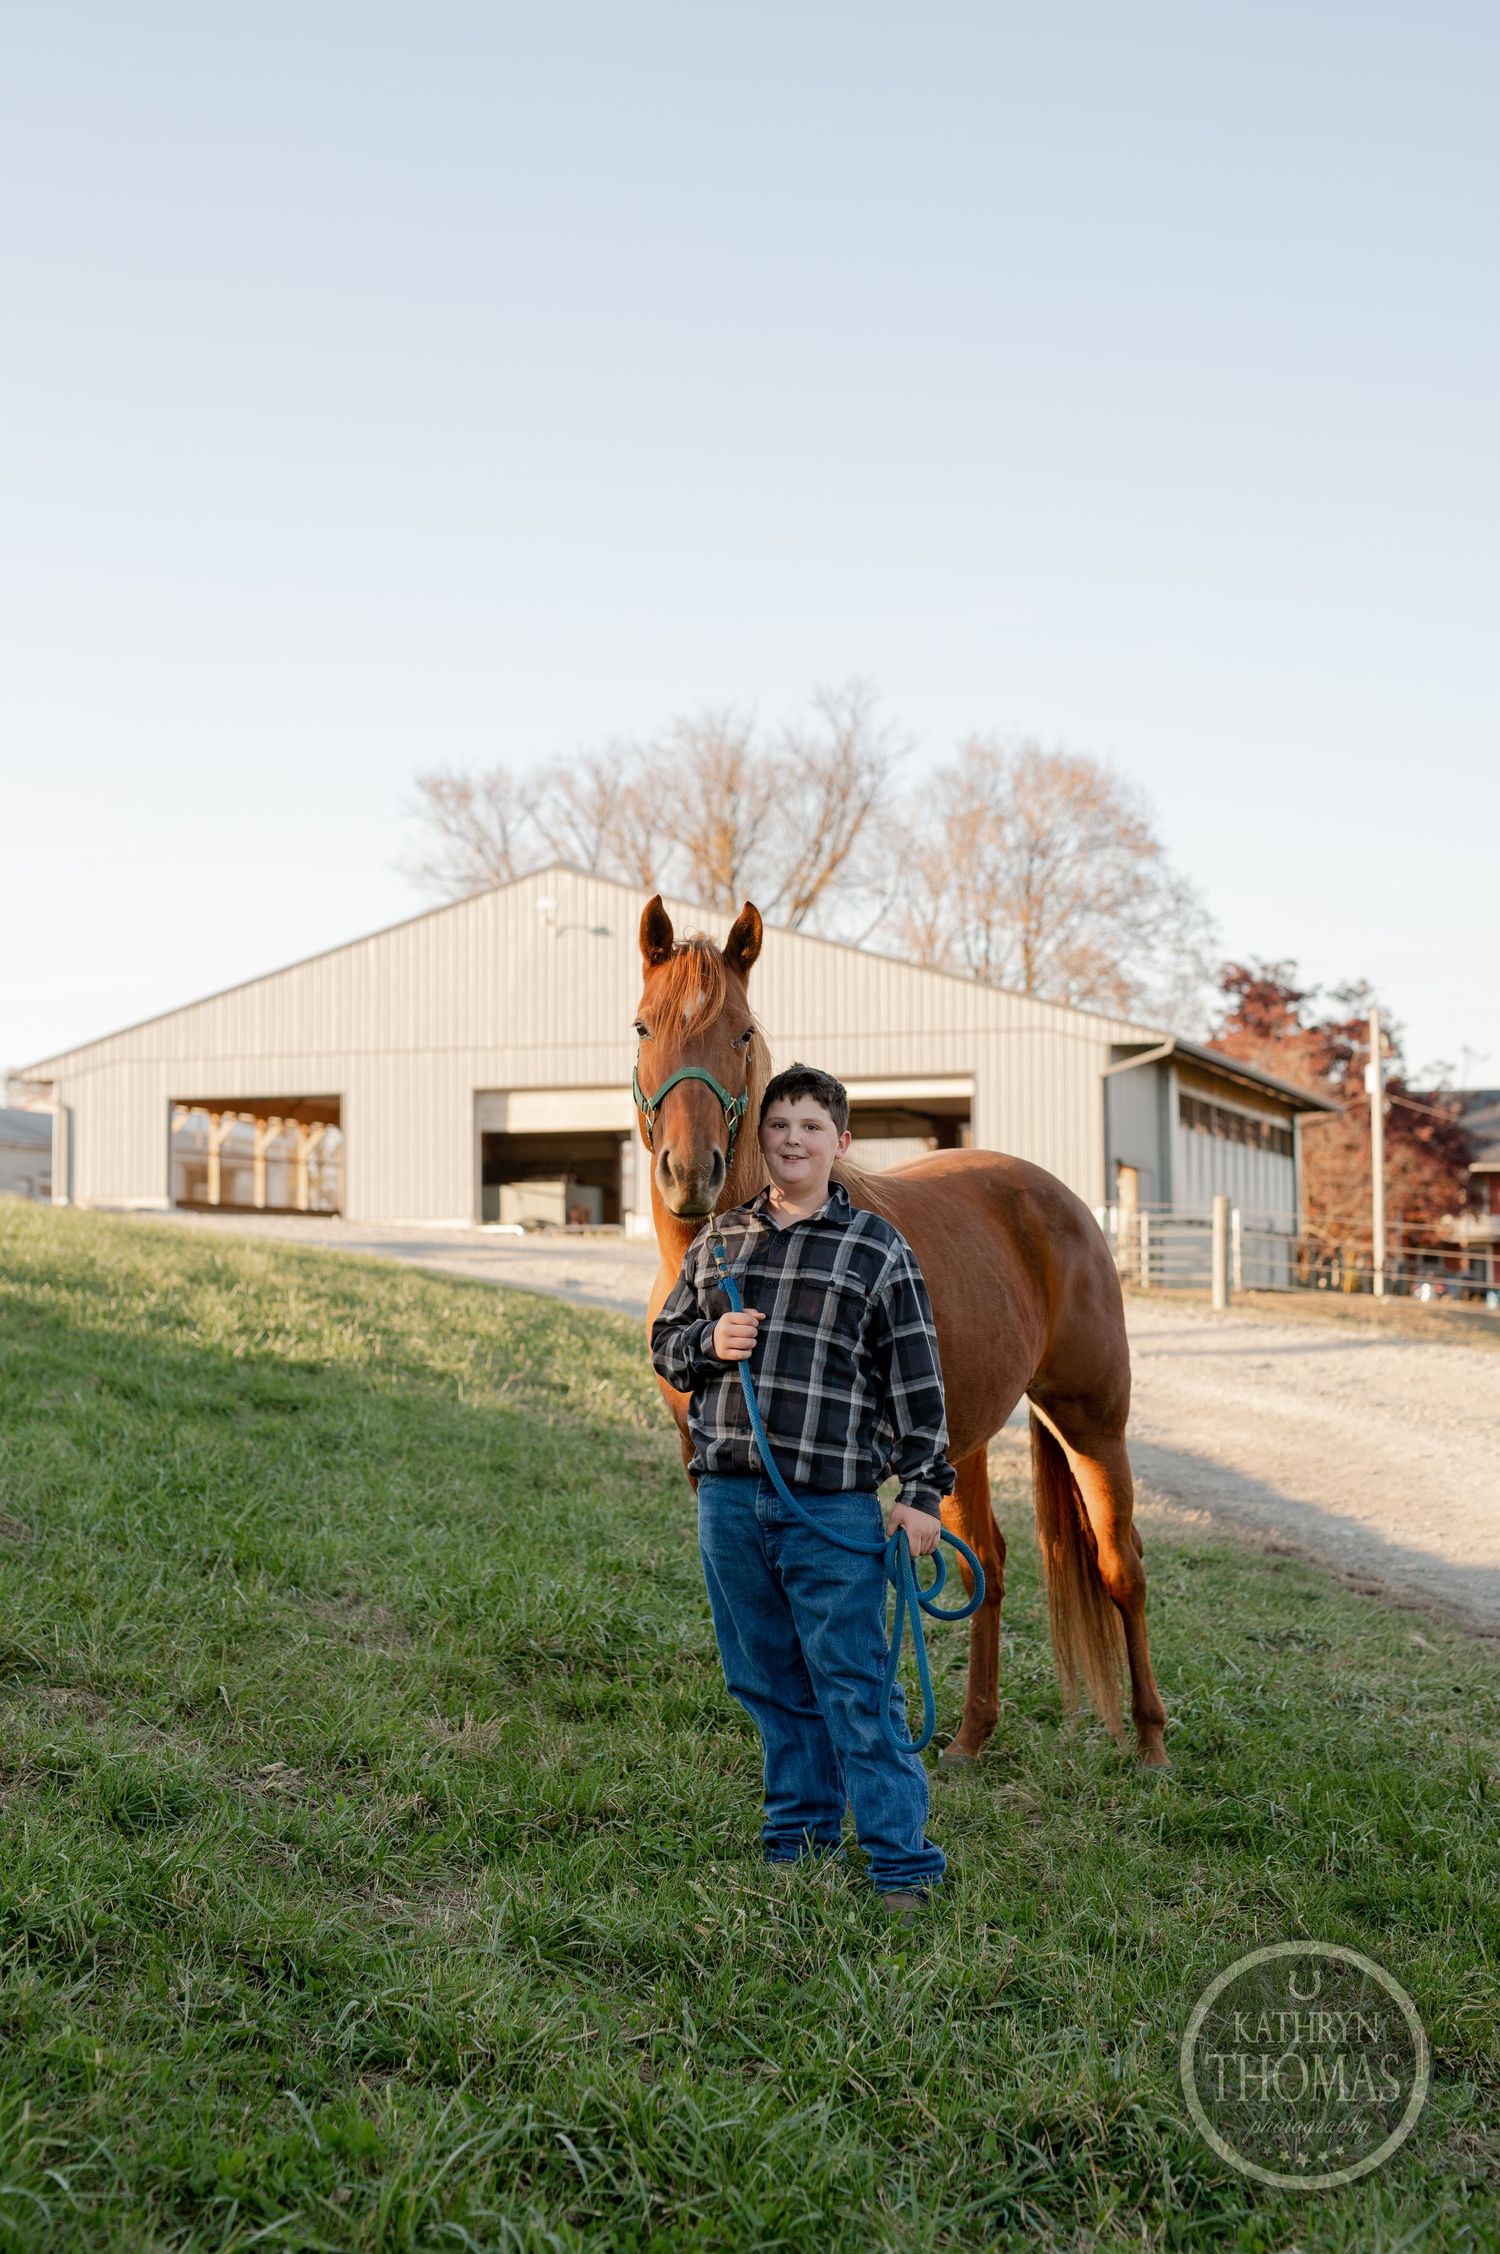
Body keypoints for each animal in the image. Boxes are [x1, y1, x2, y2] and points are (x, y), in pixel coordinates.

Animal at [634, 893, 1169, 1769]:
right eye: (644, 1026)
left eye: (742, 1033)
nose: (689, 1173)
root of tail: (1062, 1200)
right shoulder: (707, 1472)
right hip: (964, 1439)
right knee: (987, 1563)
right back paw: (970, 1736)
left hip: (1092, 1420)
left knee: (1122, 1567)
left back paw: (1152, 1743)